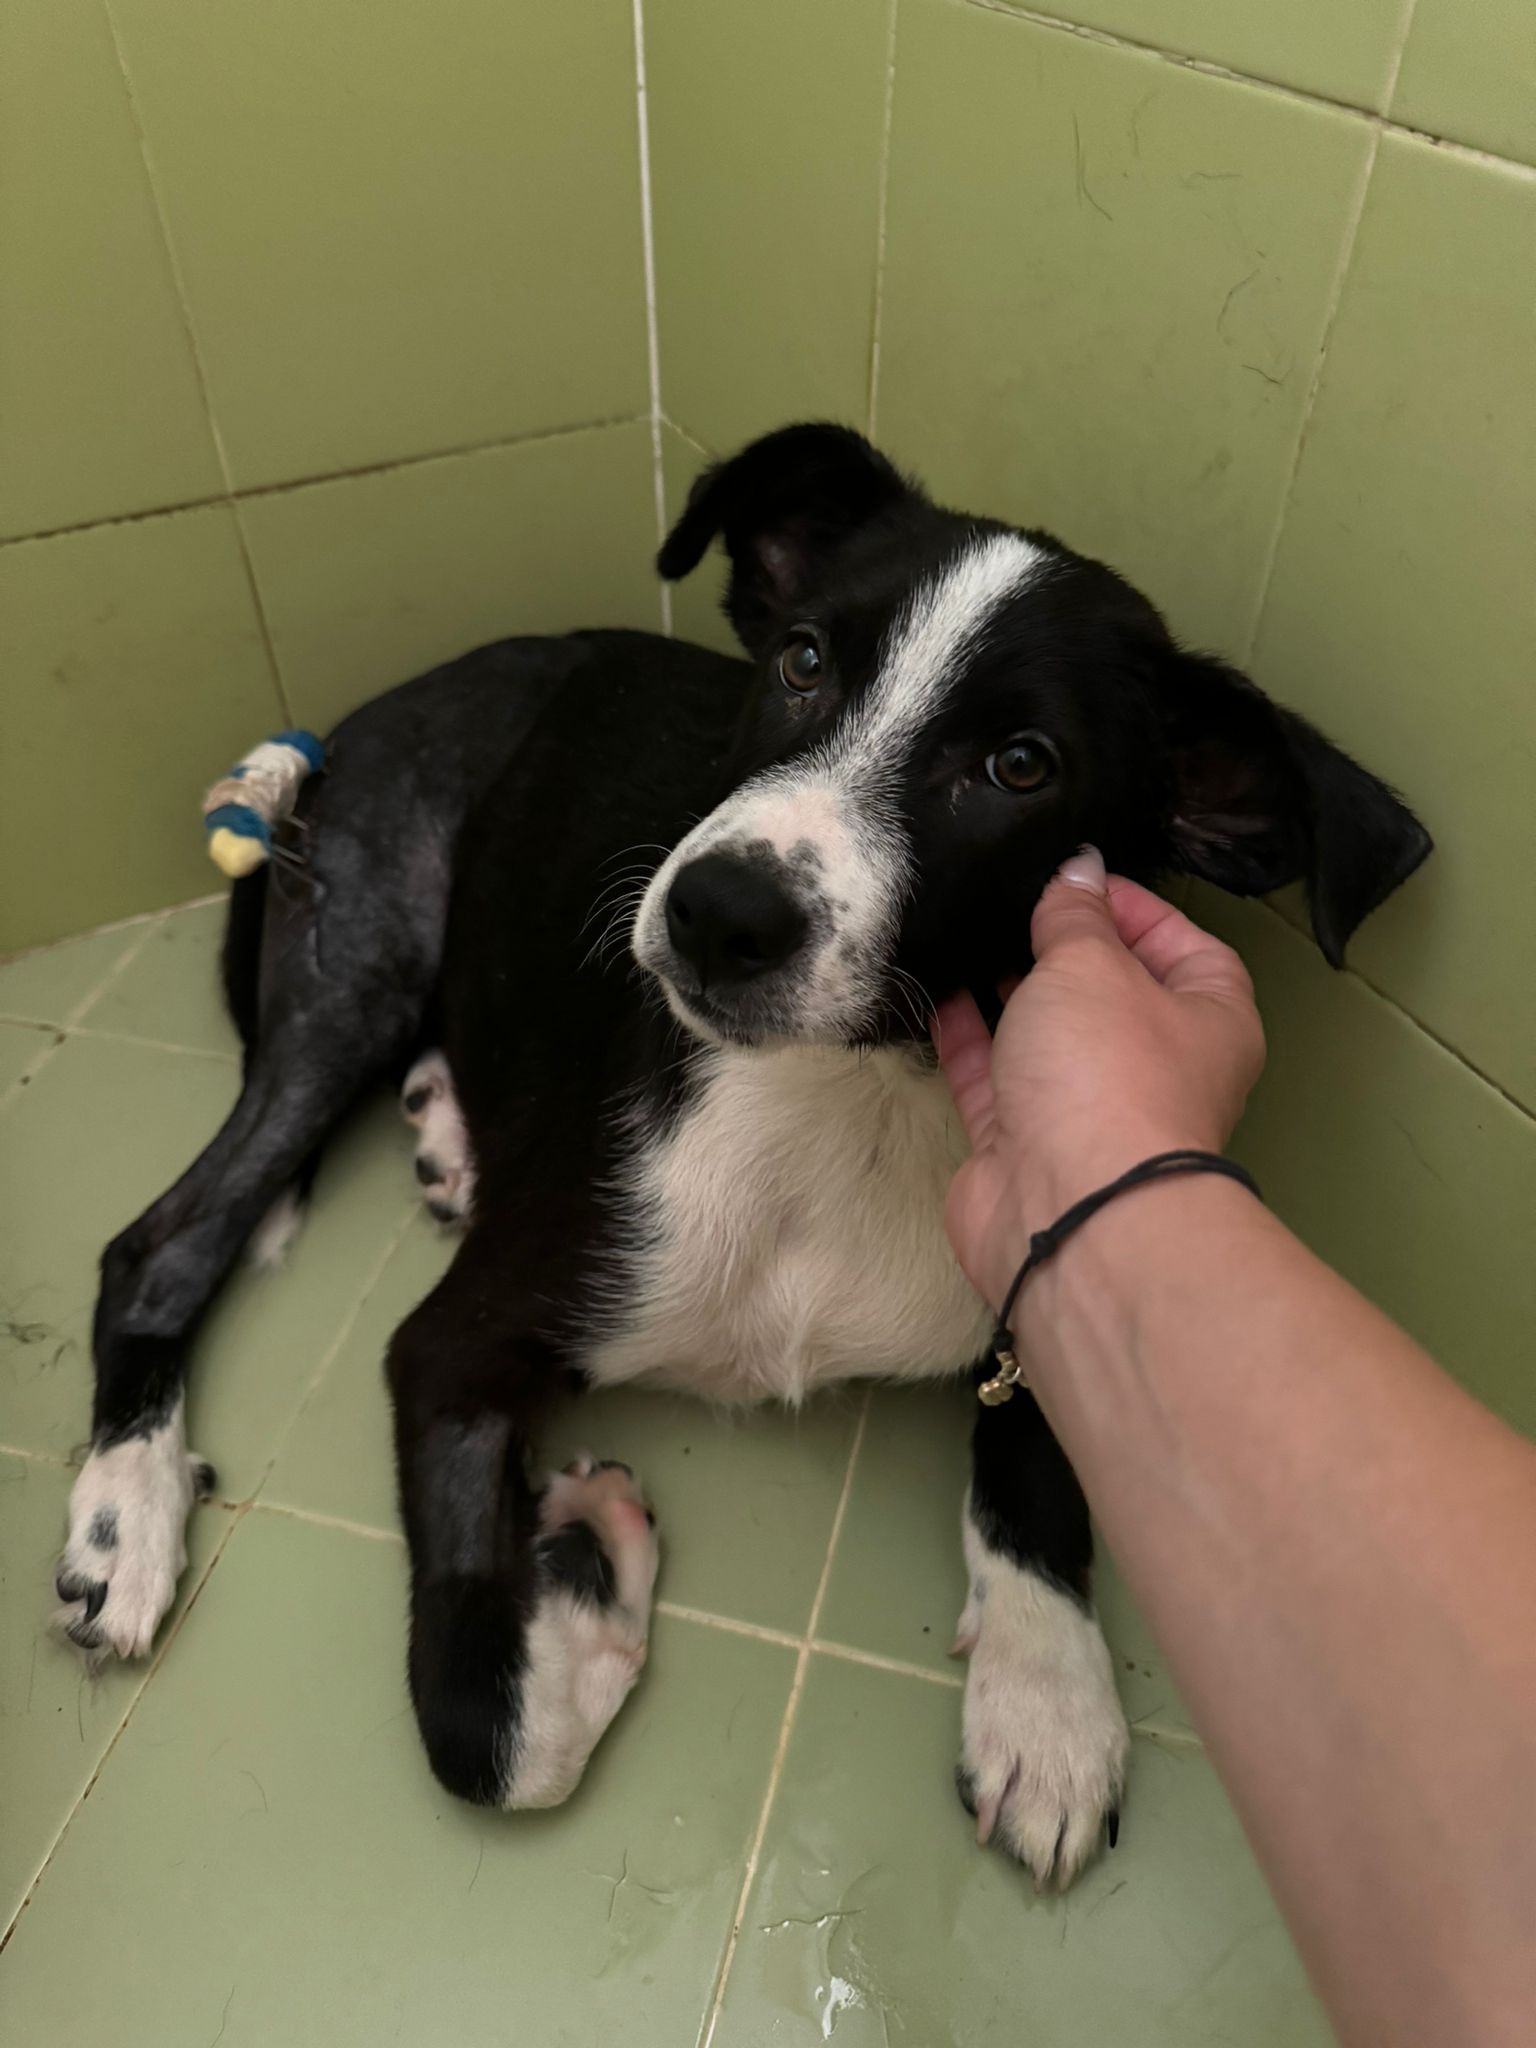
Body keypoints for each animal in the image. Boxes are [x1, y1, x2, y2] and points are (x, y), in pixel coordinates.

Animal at [58, 424, 1430, 1887]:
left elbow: (1044, 1468)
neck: (853, 1096)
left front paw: (1048, 1702)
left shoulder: (1052, 1236)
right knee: (160, 1242)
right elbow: (481, 1718)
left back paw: (447, 1133)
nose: (716, 914)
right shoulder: (447, 1346)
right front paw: (591, 1573)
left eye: (1020, 765)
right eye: (803, 661)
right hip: (357, 958)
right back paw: (123, 1513)